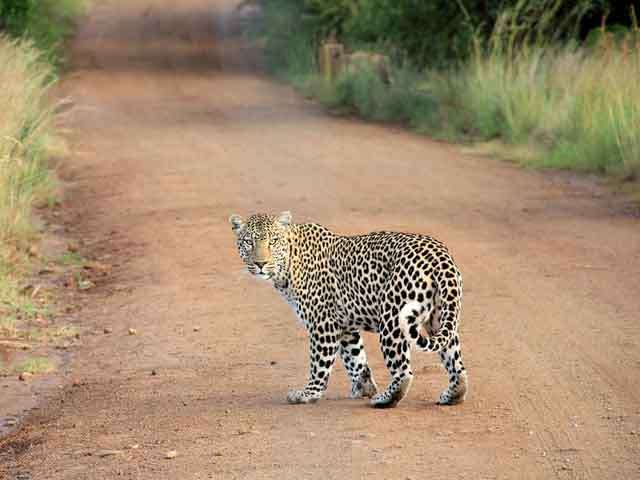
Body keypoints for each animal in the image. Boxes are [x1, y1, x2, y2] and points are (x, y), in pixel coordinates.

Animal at [229, 211, 468, 408]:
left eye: (273, 241)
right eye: (248, 242)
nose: (260, 263)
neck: (288, 266)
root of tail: (440, 256)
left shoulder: (322, 324)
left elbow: (319, 362)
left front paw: (308, 394)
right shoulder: (344, 325)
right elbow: (355, 358)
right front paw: (363, 387)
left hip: (392, 319)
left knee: (403, 372)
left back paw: (384, 399)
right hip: (440, 317)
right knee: (456, 363)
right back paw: (453, 395)